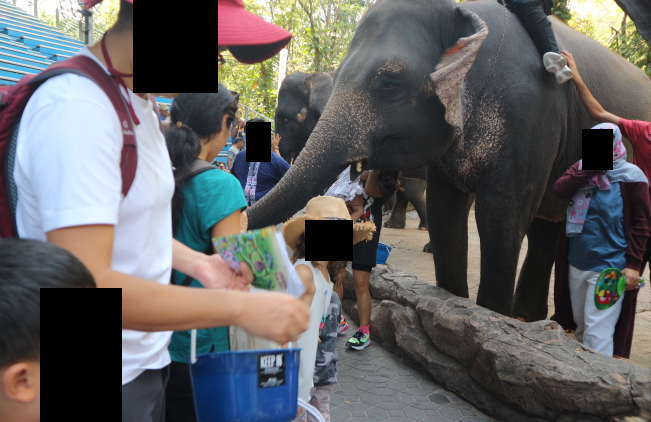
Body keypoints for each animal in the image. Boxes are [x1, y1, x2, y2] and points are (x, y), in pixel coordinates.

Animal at [250, 0, 651, 322]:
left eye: (390, 84)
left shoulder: (530, 117)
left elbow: (500, 218)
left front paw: (490, 316)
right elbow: (447, 213)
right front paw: (453, 303)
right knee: (546, 226)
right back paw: (529, 318)